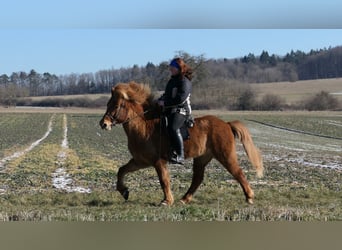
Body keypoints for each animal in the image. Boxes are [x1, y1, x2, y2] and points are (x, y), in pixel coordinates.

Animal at [99, 81, 264, 205]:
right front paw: (124, 191)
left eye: (116, 106)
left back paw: (249, 197)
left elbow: (164, 180)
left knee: (238, 172)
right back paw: (184, 199)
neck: (144, 126)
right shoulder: (141, 161)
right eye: (107, 104)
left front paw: (167, 201)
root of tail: (226, 124)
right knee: (198, 178)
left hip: (225, 156)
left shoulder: (158, 161)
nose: (103, 124)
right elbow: (122, 170)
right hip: (202, 158)